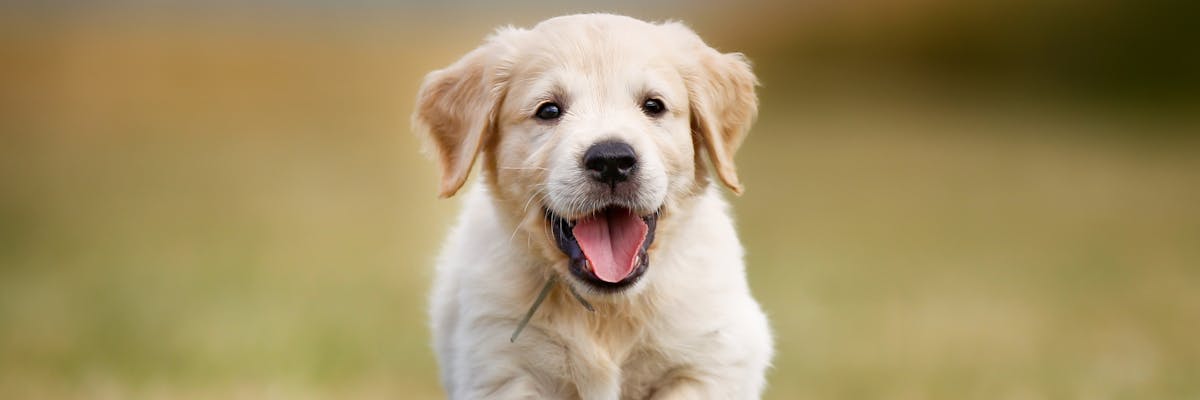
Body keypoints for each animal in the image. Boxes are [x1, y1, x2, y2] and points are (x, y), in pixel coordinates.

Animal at [412, 13, 772, 398]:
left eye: (653, 106)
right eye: (549, 110)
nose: (612, 160)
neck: (605, 308)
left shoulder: (711, 361)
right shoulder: (500, 365)